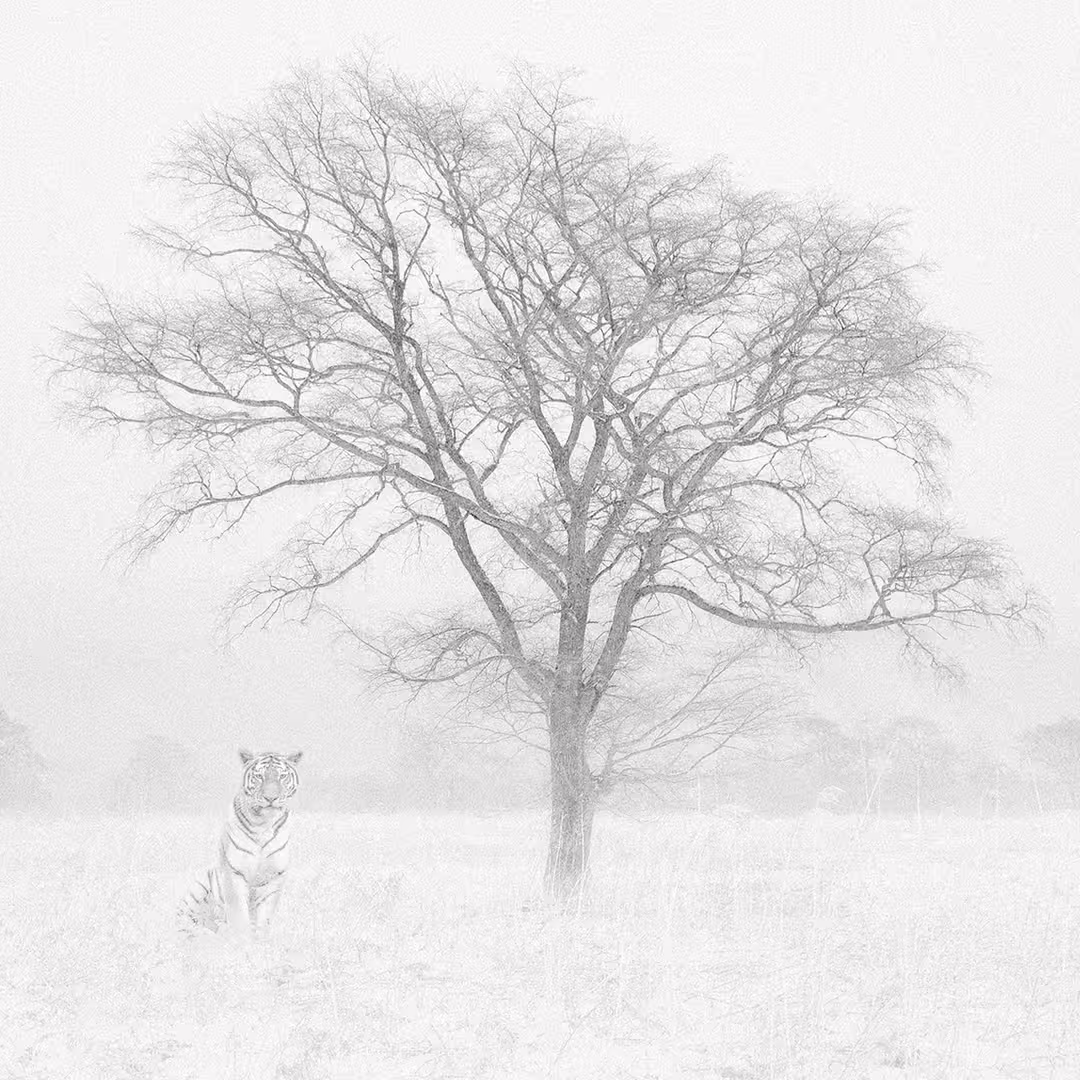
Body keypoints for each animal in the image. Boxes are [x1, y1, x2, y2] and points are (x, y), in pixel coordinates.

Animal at [179, 749, 303, 936]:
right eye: (259, 776)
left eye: (282, 776)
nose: (271, 798)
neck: (263, 824)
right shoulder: (233, 873)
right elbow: (238, 915)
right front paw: (241, 940)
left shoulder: (274, 876)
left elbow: (264, 918)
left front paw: (262, 939)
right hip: (197, 891)